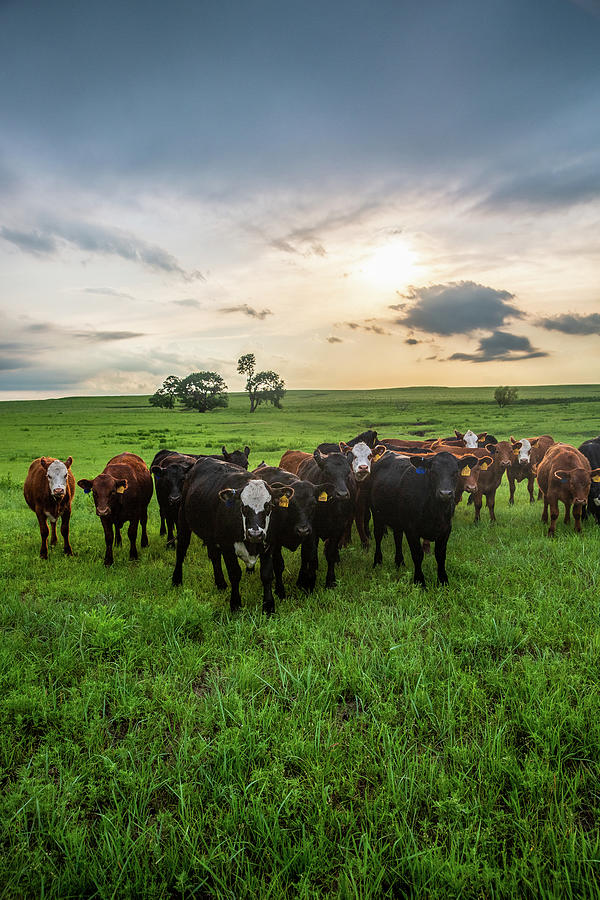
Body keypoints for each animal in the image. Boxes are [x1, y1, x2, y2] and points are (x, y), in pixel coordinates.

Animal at [172, 460, 294, 616]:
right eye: (243, 506)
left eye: (269, 505)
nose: (255, 534)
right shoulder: (227, 547)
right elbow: (235, 574)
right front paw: (235, 604)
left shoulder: (269, 546)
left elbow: (267, 575)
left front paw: (269, 606)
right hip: (183, 520)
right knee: (181, 550)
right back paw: (176, 579)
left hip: (210, 534)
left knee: (214, 557)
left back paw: (220, 583)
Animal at [251, 468, 322, 600]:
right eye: (292, 504)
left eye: (313, 504)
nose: (302, 530)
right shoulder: (275, 543)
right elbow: (279, 565)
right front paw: (280, 591)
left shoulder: (310, 537)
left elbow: (307, 558)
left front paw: (306, 586)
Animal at [296, 450, 356, 592]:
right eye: (328, 472)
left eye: (347, 472)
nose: (342, 494)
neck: (329, 507)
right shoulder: (311, 530)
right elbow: (310, 554)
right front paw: (309, 583)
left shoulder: (338, 528)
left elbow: (331, 553)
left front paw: (330, 581)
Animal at [368, 450, 472, 592]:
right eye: (433, 472)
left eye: (456, 472)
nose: (445, 493)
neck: (435, 511)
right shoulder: (412, 529)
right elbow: (417, 555)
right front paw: (420, 582)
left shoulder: (446, 529)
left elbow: (440, 555)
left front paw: (443, 581)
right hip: (377, 514)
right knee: (378, 536)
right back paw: (377, 561)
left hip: (397, 520)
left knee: (397, 537)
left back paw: (399, 562)